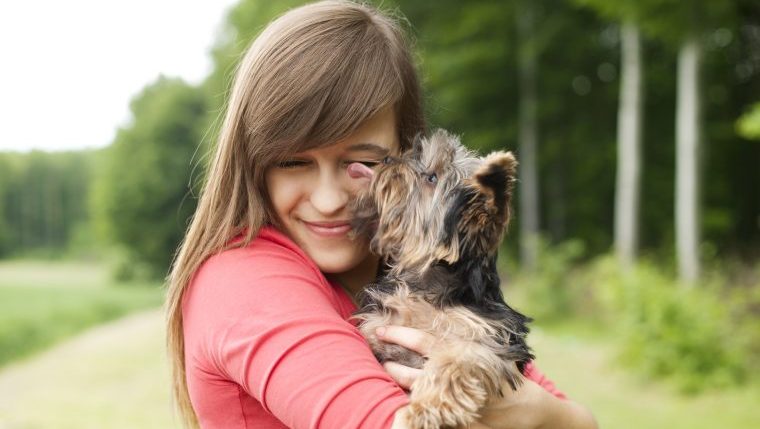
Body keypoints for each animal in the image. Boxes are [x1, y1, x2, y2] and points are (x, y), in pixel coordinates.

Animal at [348, 130, 532, 428]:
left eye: (431, 178)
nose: (388, 160)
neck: (426, 285)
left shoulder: (485, 339)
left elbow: (453, 363)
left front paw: (424, 409)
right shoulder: (378, 327)